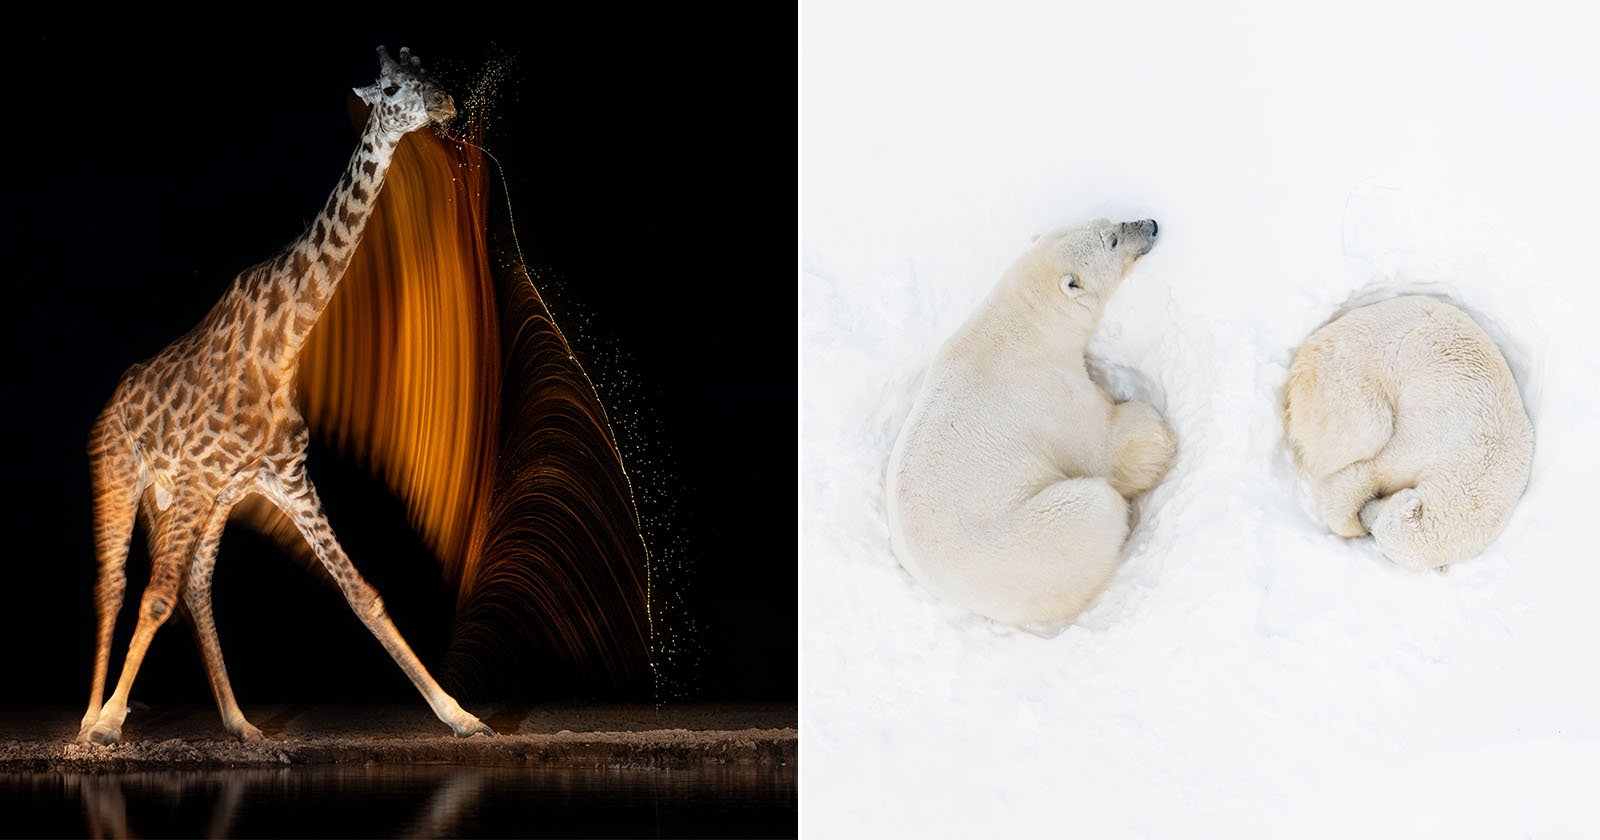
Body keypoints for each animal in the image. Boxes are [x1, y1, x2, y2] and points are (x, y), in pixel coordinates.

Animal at [75, 46, 494, 745]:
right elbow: (152, 596)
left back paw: (239, 723)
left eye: (429, 72)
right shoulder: (204, 473)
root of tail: (112, 399)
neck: (288, 336)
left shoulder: (283, 478)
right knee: (115, 585)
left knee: (194, 587)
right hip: (122, 472)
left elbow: (363, 595)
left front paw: (460, 715)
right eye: (389, 87)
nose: (445, 103)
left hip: (203, 498)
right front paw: (109, 721)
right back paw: (87, 719)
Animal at [885, 218, 1173, 627]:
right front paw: (1157, 438)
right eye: (1114, 239)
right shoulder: (1047, 392)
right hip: (1037, 539)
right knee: (1096, 505)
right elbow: (1103, 446)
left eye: (1110, 221)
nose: (1150, 224)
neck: (1023, 323)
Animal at [1284, 295, 1534, 570]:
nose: (1363, 515)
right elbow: (1376, 468)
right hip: (1347, 374)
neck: (1481, 461)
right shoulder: (1437, 436)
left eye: (1377, 529)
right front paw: (1347, 523)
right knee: (1367, 429)